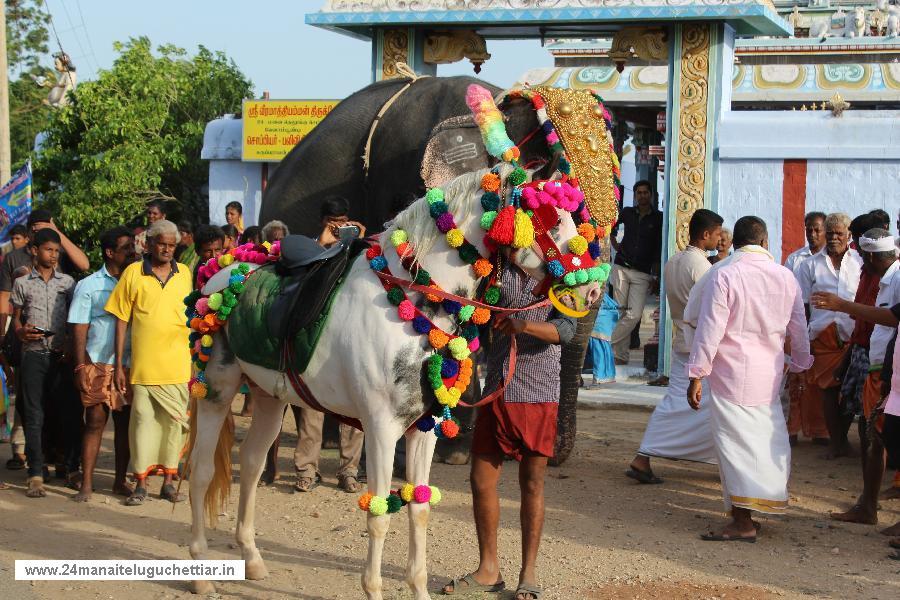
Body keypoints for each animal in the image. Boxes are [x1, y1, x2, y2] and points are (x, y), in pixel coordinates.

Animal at [186, 165, 600, 600]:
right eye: (551, 218)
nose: (591, 289)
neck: (412, 301)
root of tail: (219, 275)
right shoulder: (381, 429)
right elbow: (380, 514)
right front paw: (373, 587)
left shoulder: (424, 428)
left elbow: (419, 508)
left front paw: (418, 588)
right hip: (217, 392)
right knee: (200, 470)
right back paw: (200, 572)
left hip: (269, 396)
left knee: (250, 463)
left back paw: (251, 558)